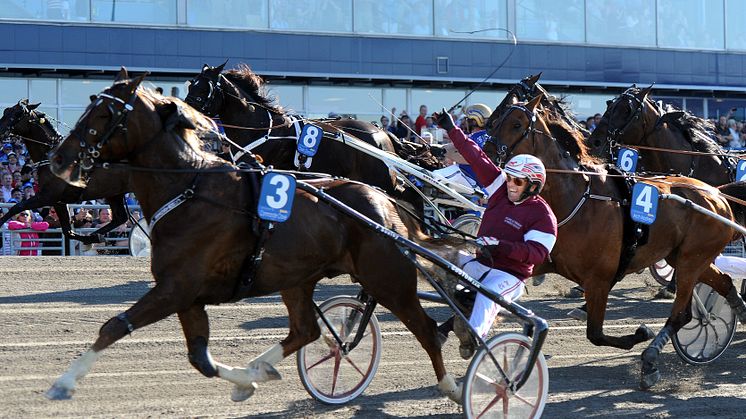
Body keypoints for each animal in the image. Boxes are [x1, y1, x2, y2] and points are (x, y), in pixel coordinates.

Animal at [0, 99, 132, 244]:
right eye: (6, 111)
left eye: (18, 113)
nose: (0, 131)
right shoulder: (57, 201)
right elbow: (68, 231)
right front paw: (92, 237)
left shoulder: (47, 196)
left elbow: (16, 207)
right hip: (114, 192)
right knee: (120, 217)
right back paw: (95, 235)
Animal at [43, 71, 462, 404]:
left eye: (104, 113)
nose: (57, 159)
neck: (189, 187)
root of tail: (385, 208)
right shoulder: (186, 295)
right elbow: (199, 358)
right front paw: (246, 381)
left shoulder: (176, 287)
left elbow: (114, 326)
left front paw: (63, 383)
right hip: (299, 279)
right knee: (307, 329)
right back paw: (260, 368)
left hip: (388, 277)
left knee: (427, 329)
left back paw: (454, 387)